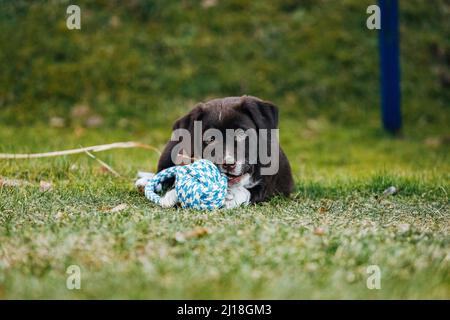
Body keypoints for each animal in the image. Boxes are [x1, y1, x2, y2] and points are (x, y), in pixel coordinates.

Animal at [156, 95, 294, 206]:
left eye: (241, 134)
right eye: (210, 139)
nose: (228, 164)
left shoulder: (268, 184)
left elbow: (249, 191)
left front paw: (230, 197)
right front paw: (172, 194)